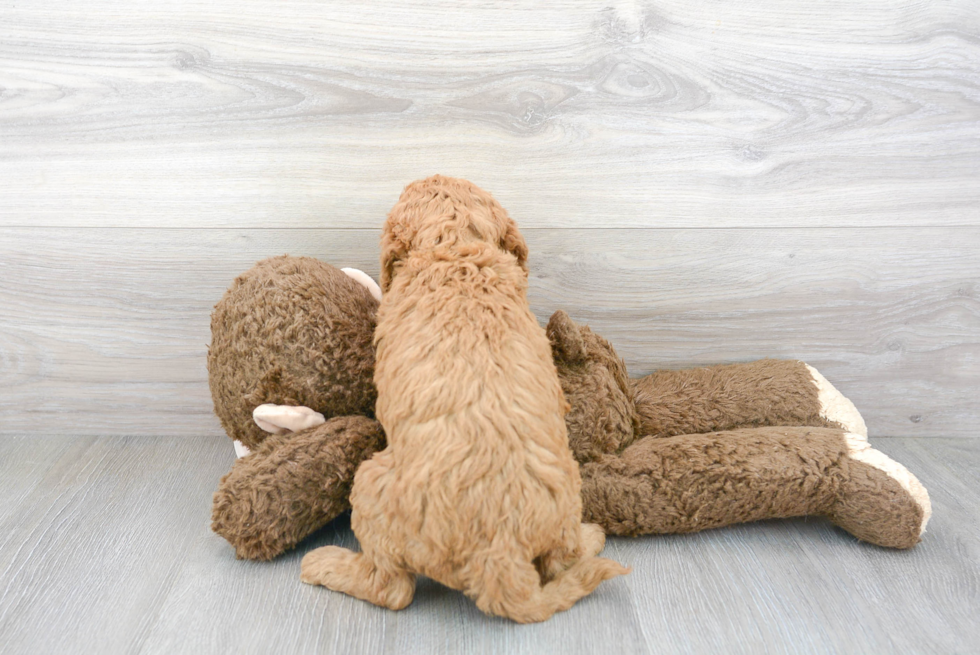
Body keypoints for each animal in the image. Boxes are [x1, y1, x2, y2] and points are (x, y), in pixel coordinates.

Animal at [298, 176, 632, 624]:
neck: (456, 248)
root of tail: (500, 552)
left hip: (371, 483)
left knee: (391, 588)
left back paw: (324, 564)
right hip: (565, 496)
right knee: (563, 560)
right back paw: (592, 535)